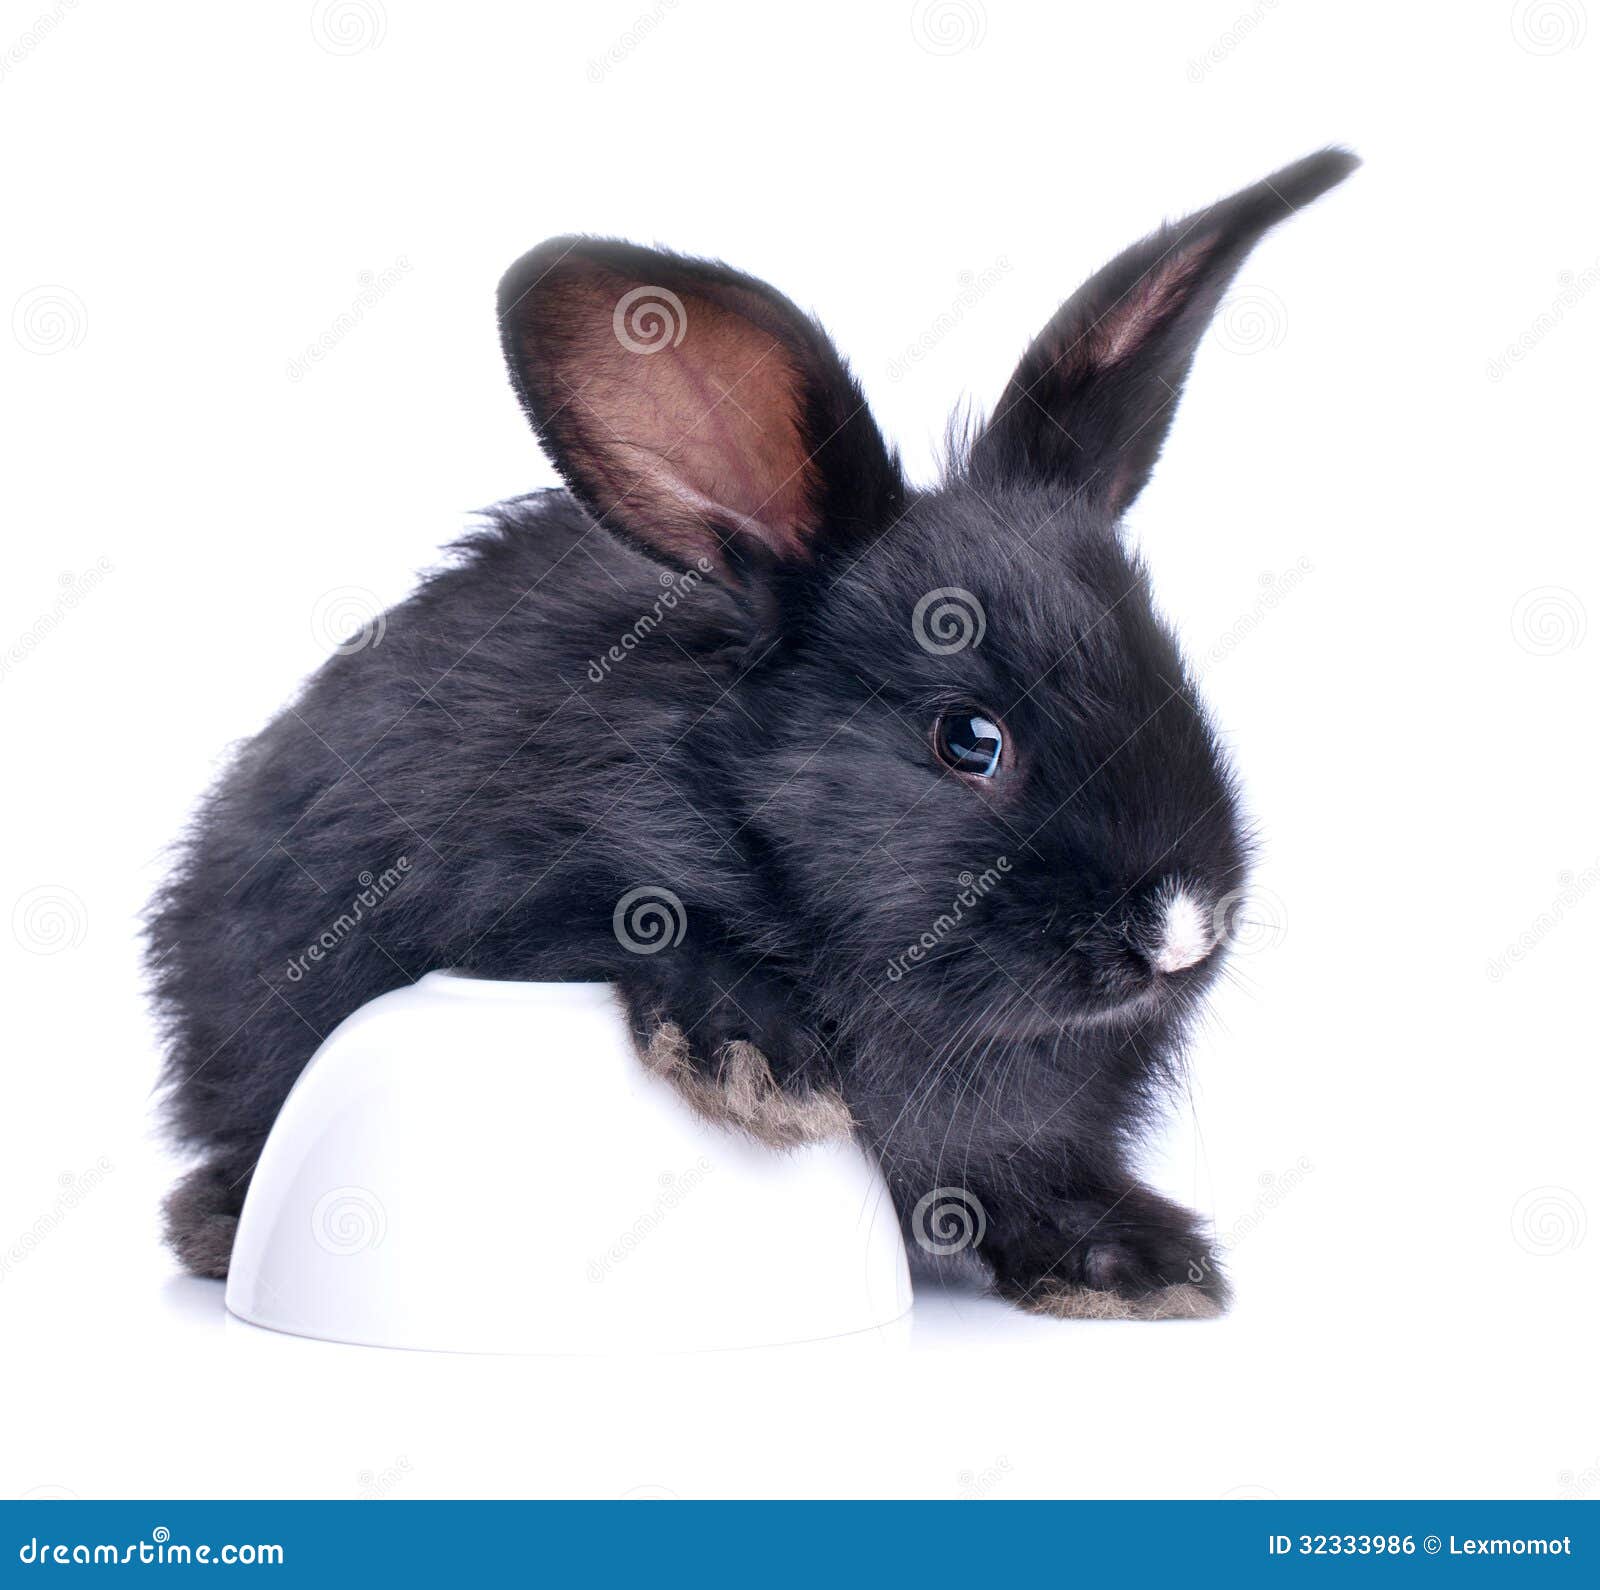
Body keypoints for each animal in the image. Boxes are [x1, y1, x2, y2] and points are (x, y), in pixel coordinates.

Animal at [149, 148, 1357, 1317]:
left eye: (1174, 678)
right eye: (968, 741)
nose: (1180, 930)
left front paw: (1139, 1265)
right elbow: (664, 932)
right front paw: (756, 1066)